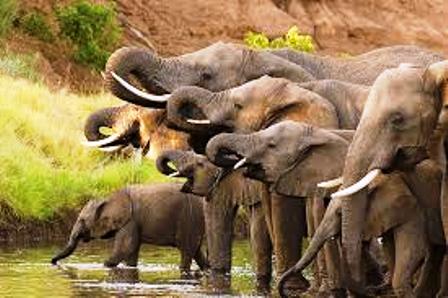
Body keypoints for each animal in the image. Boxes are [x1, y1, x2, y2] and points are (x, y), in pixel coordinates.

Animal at [51, 183, 207, 276]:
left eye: (82, 221)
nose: (52, 261)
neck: (107, 197)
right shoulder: (132, 222)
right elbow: (131, 252)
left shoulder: (130, 220)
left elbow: (125, 247)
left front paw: (105, 265)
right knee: (197, 252)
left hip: (189, 219)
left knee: (187, 251)